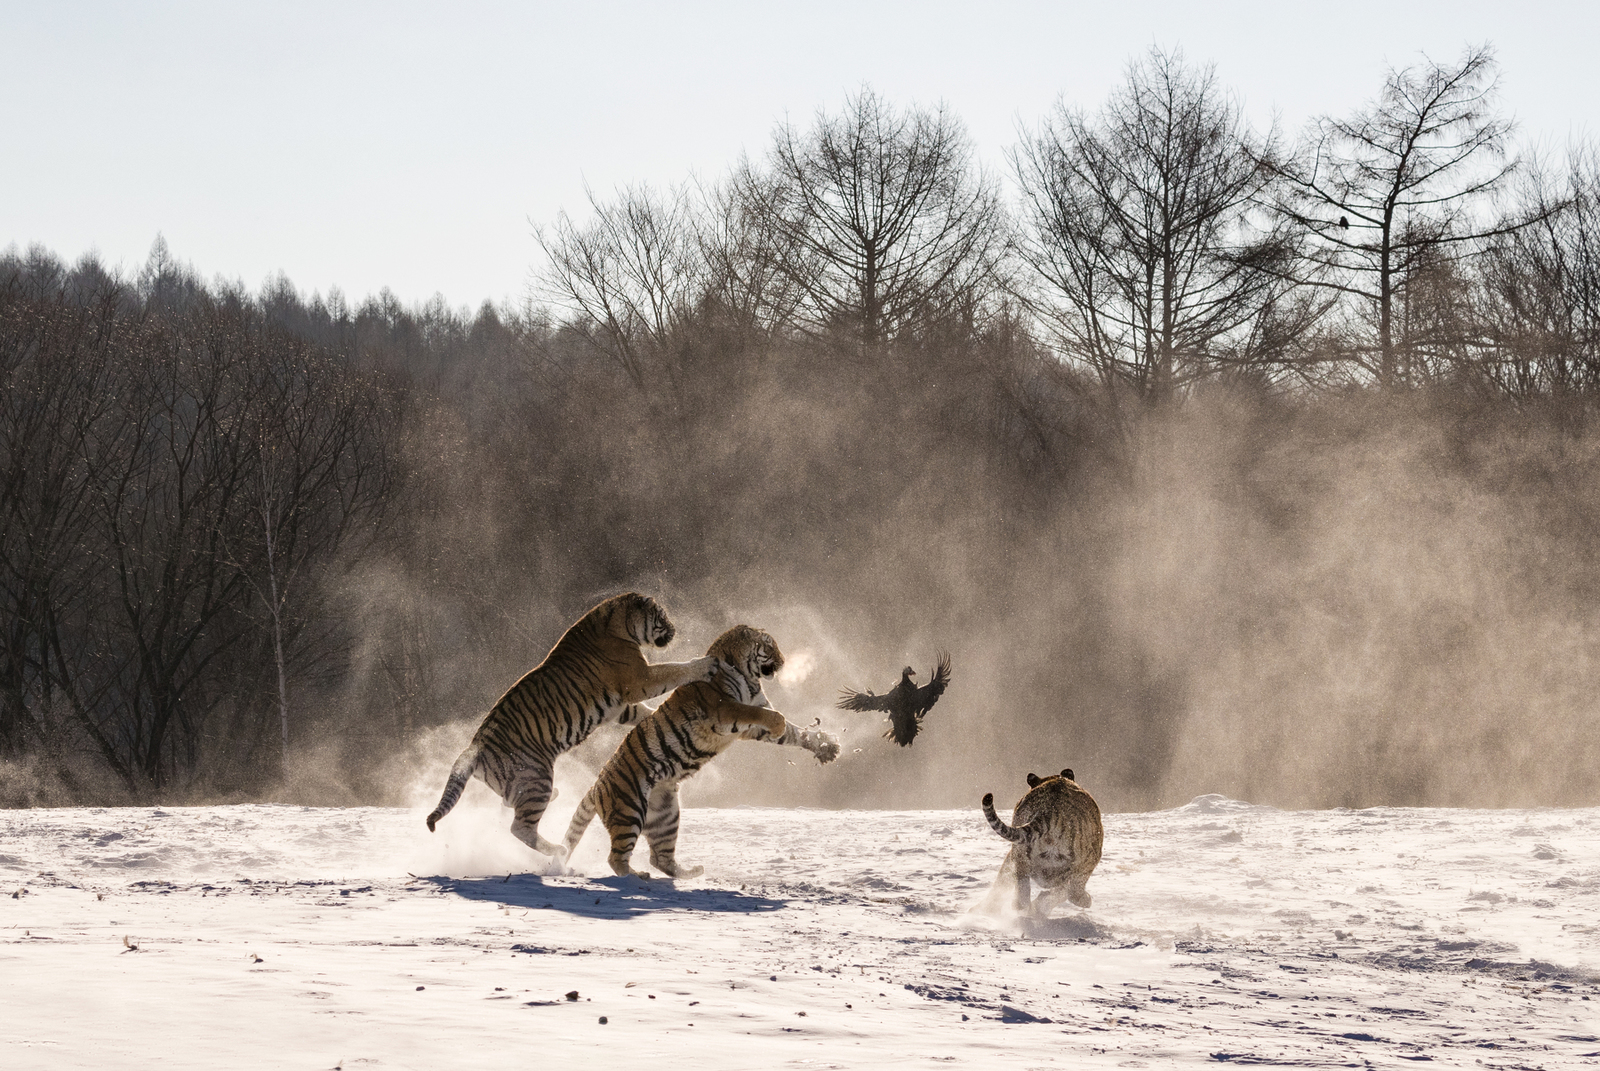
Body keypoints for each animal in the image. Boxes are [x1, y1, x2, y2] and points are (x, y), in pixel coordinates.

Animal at [422, 589, 716, 858]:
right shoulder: (639, 680)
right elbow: (675, 669)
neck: (620, 625)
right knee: (520, 828)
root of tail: (475, 747)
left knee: (510, 805)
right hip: (537, 775)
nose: (675, 630)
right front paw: (705, 664)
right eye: (662, 616)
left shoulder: (619, 707)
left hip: (522, 783)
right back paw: (559, 849)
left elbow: (642, 712)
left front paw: (655, 721)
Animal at [560, 617, 844, 877]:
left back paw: (691, 872)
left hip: (666, 815)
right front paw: (781, 725)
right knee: (616, 858)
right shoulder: (725, 709)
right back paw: (636, 877)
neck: (749, 677)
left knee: (660, 858)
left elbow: (796, 733)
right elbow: (769, 715)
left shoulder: (749, 727)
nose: (784, 661)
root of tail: (597, 785)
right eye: (769, 646)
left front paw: (827, 747)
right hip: (629, 809)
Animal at [972, 765, 1100, 915]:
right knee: (1073, 892)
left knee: (1020, 898)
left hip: (1020, 854)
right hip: (1089, 858)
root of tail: (1051, 809)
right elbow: (1063, 892)